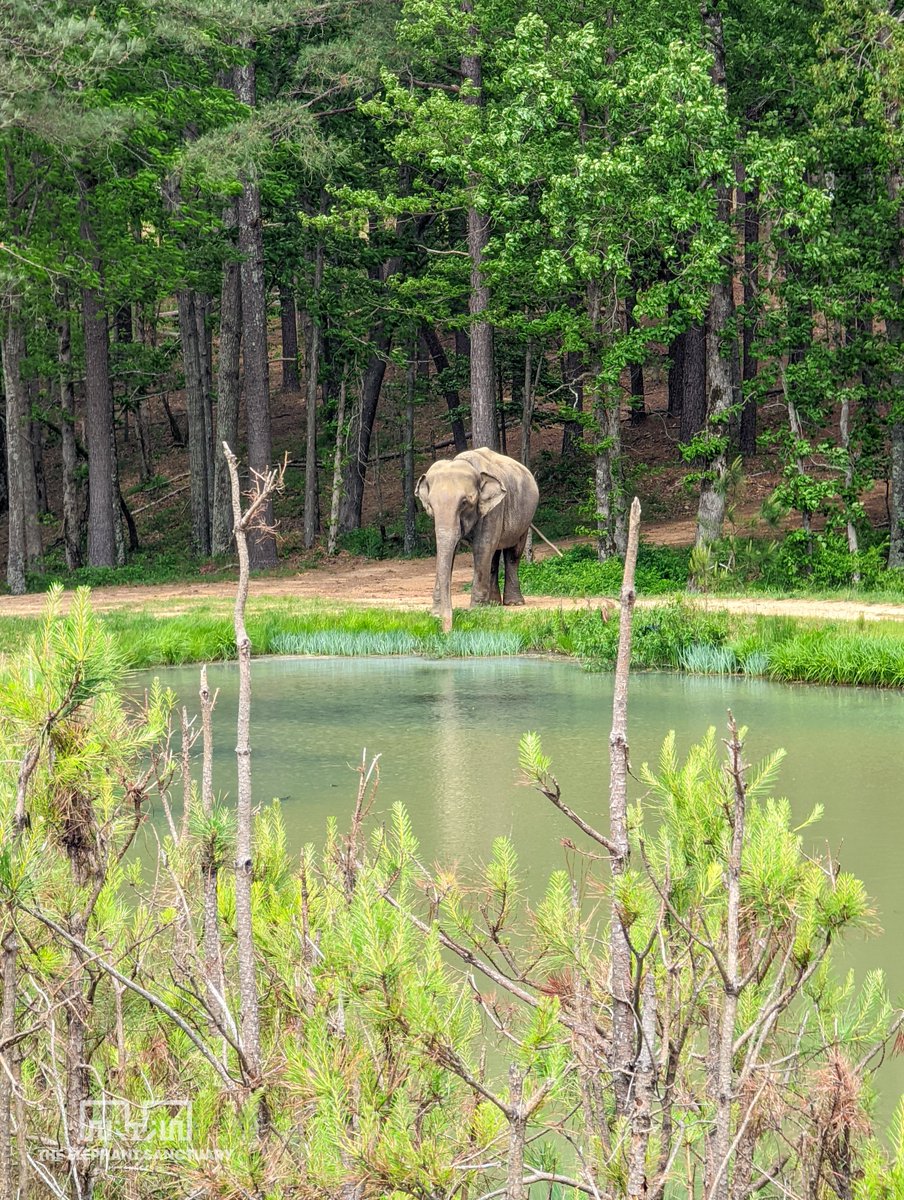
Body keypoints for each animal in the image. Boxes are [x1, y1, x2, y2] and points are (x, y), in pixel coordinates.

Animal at [415, 447, 540, 634]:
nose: (447, 630)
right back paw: (494, 603)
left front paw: (476, 611)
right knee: (494, 557)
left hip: (525, 518)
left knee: (512, 554)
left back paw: (513, 603)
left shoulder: (494, 509)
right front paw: (435, 613)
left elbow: (483, 547)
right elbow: (450, 550)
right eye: (430, 504)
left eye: (464, 502)